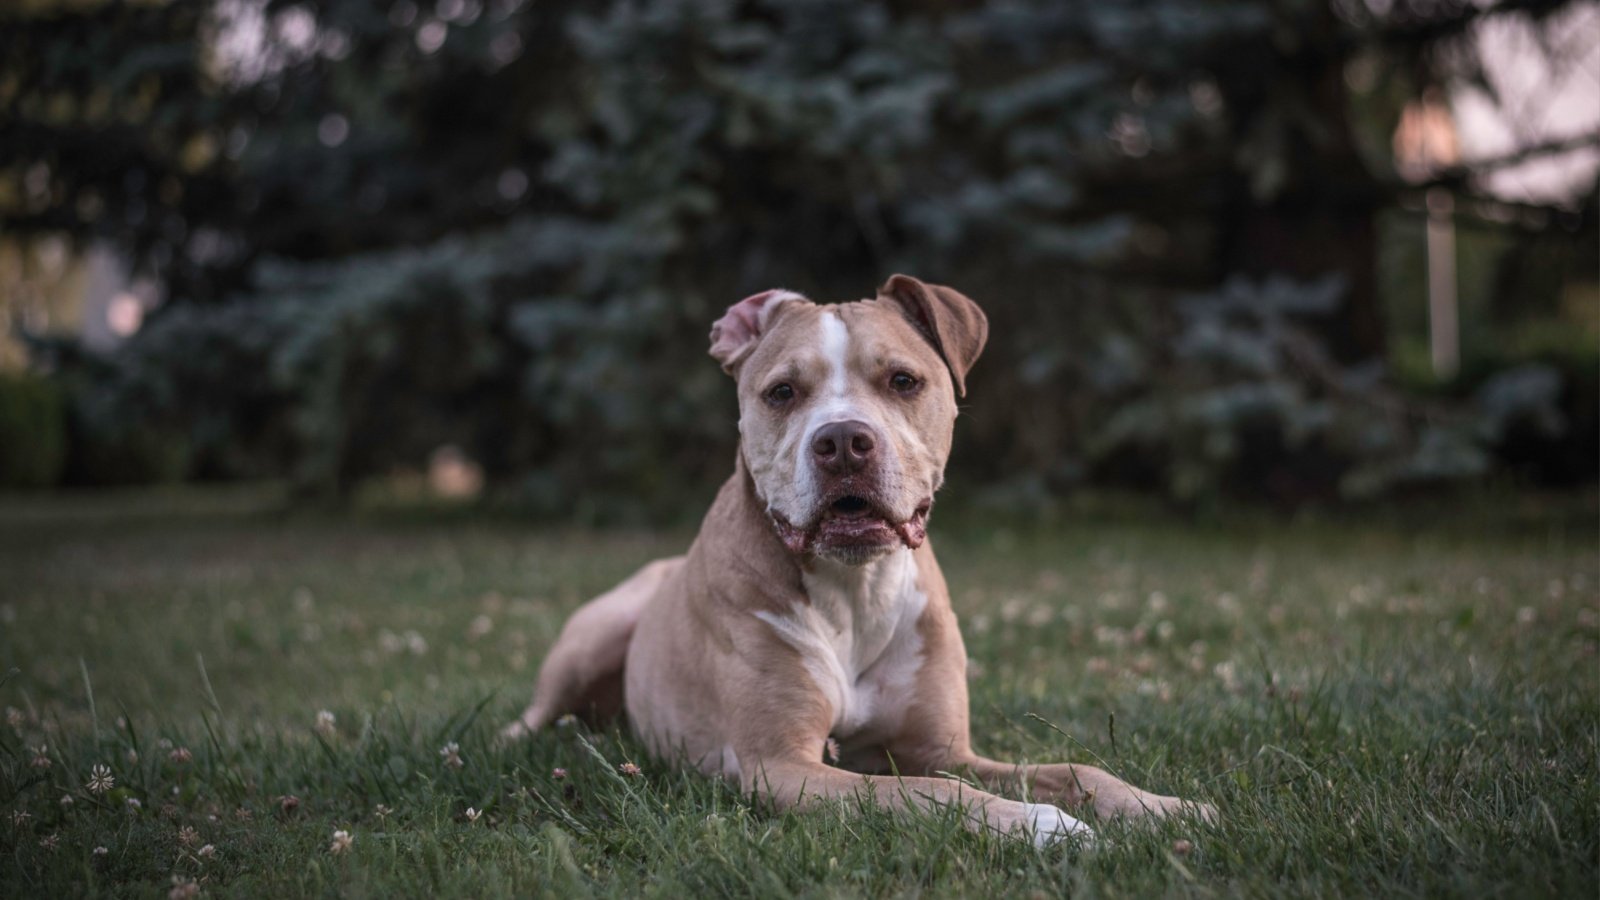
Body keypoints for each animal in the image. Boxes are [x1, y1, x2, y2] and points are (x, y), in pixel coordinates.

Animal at [505, 273, 1203, 839]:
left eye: (903, 381)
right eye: (782, 392)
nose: (843, 441)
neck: (855, 587)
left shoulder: (945, 748)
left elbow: (1074, 769)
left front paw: (1163, 808)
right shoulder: (782, 766)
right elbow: (932, 792)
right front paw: (1043, 824)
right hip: (595, 635)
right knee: (534, 715)